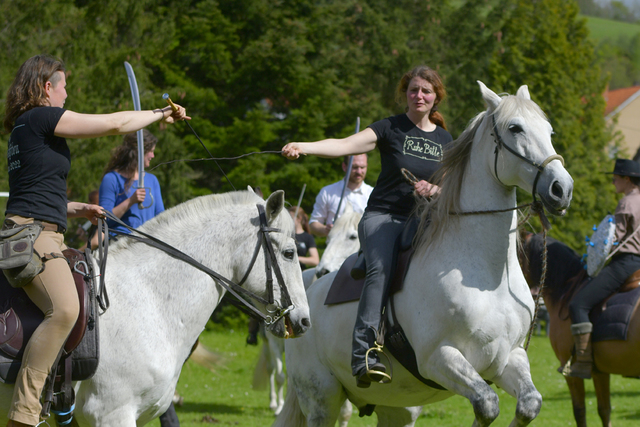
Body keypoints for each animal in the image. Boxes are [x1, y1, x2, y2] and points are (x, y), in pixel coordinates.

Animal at [276, 82, 576, 426]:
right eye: (515, 128)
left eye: (549, 131)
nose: (562, 188)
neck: (487, 277)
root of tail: (304, 302)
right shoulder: (439, 358)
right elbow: (487, 403)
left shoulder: (508, 358)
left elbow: (529, 403)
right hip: (321, 400)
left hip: (398, 409)